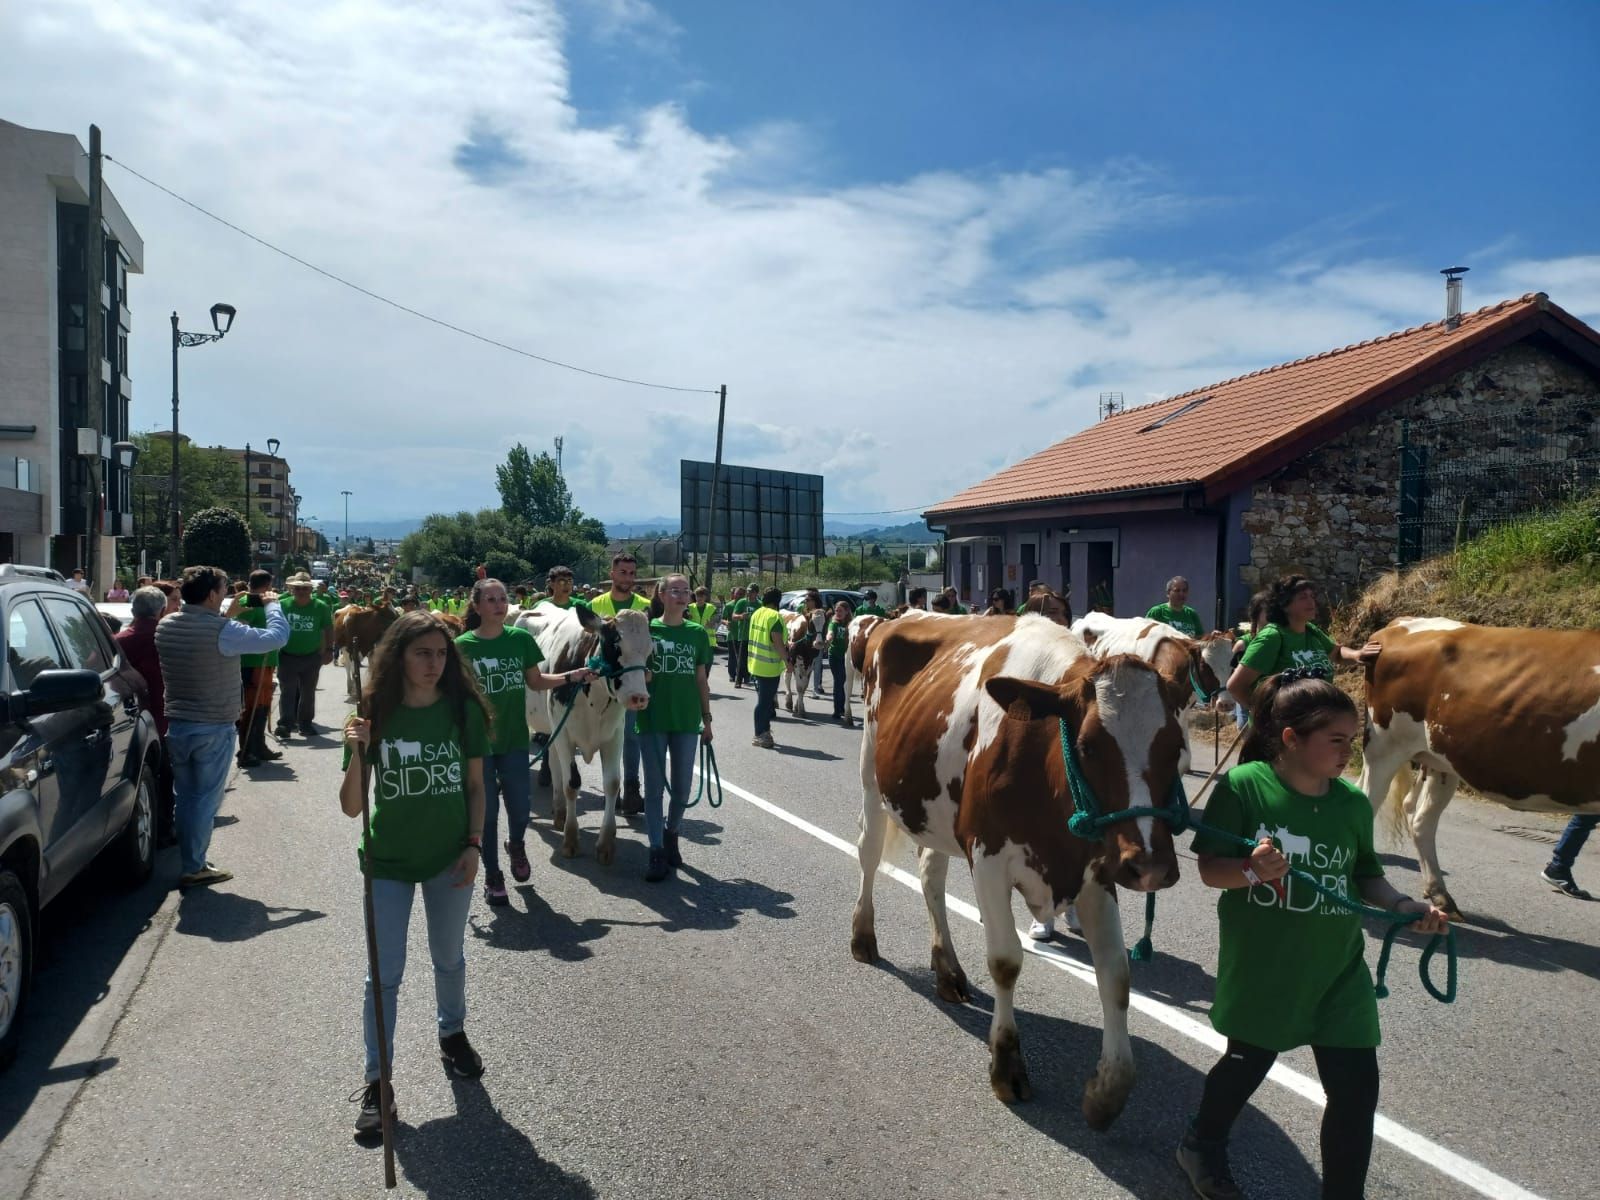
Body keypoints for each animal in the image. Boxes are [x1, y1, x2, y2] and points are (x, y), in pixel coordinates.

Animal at [518, 604, 656, 870]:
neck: (596, 697)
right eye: (614, 646)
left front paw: (606, 845)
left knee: (553, 762)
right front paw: (571, 840)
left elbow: (612, 784)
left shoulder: (614, 736)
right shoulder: (565, 734)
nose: (639, 698)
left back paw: (559, 811)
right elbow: (572, 783)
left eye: (649, 649)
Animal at [851, 614, 1190, 1132]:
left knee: (930, 876)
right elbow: (1006, 962)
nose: (1149, 865)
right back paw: (864, 937)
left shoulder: (1095, 870)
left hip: (938, 816)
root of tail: (896, 619)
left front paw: (1108, 1090)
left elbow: (1116, 973)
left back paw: (947, 969)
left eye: (1175, 747)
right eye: (1088, 746)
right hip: (873, 775)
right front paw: (1007, 1065)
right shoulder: (989, 859)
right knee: (868, 854)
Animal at [1356, 614, 1600, 915]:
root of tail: (1401, 623)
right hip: (1385, 747)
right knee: (1366, 801)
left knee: (1421, 818)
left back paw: (1440, 895)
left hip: (1439, 760)